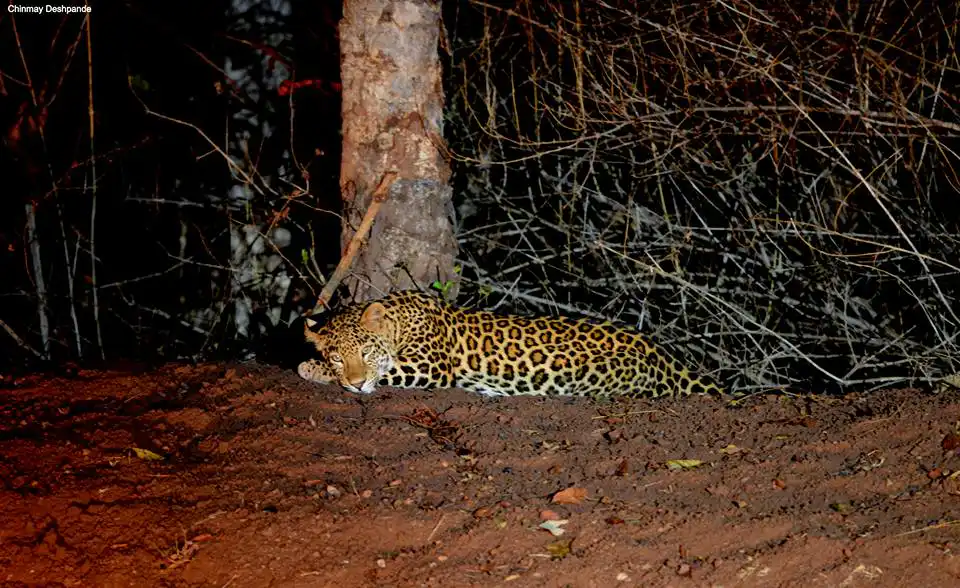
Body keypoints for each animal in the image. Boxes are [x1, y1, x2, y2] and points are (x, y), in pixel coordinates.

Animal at [297, 290, 726, 399]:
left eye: (366, 353)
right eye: (339, 357)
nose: (354, 384)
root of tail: (665, 355)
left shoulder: (429, 366)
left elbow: (387, 372)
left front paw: (310, 367)